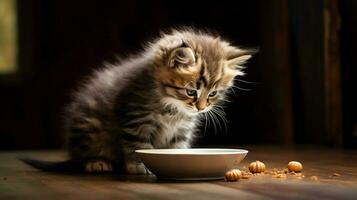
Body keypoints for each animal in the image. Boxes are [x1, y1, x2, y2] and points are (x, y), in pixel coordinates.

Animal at [25, 28, 254, 173]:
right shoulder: (135, 119)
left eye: (213, 94)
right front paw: (137, 166)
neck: (172, 108)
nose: (201, 108)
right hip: (91, 128)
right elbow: (137, 144)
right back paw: (96, 162)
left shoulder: (181, 130)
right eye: (191, 92)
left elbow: (177, 147)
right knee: (84, 153)